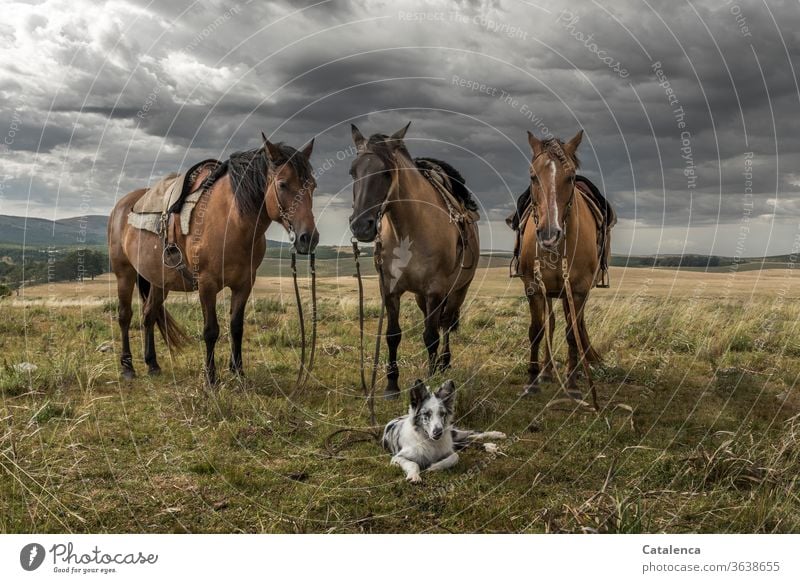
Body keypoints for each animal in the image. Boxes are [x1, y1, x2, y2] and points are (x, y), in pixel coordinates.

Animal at [108, 135, 318, 386]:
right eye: (283, 184)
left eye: (313, 185)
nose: (308, 238)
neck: (231, 222)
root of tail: (121, 207)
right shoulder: (207, 284)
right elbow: (211, 330)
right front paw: (211, 378)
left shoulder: (244, 283)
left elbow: (236, 327)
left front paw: (238, 372)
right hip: (124, 274)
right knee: (125, 316)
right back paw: (127, 367)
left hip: (159, 282)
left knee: (149, 315)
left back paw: (153, 364)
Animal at [348, 121, 476, 400]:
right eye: (353, 172)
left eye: (387, 173)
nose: (361, 226)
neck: (407, 230)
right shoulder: (390, 289)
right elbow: (392, 334)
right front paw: (391, 385)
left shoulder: (435, 290)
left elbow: (431, 336)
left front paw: (431, 380)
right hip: (421, 297)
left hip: (458, 290)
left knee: (445, 325)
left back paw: (444, 364)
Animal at [520, 129, 600, 400]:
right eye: (533, 176)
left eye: (571, 177)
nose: (549, 234)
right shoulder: (534, 288)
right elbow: (537, 330)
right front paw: (532, 381)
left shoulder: (577, 291)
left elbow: (572, 334)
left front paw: (573, 384)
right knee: (551, 323)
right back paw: (546, 372)